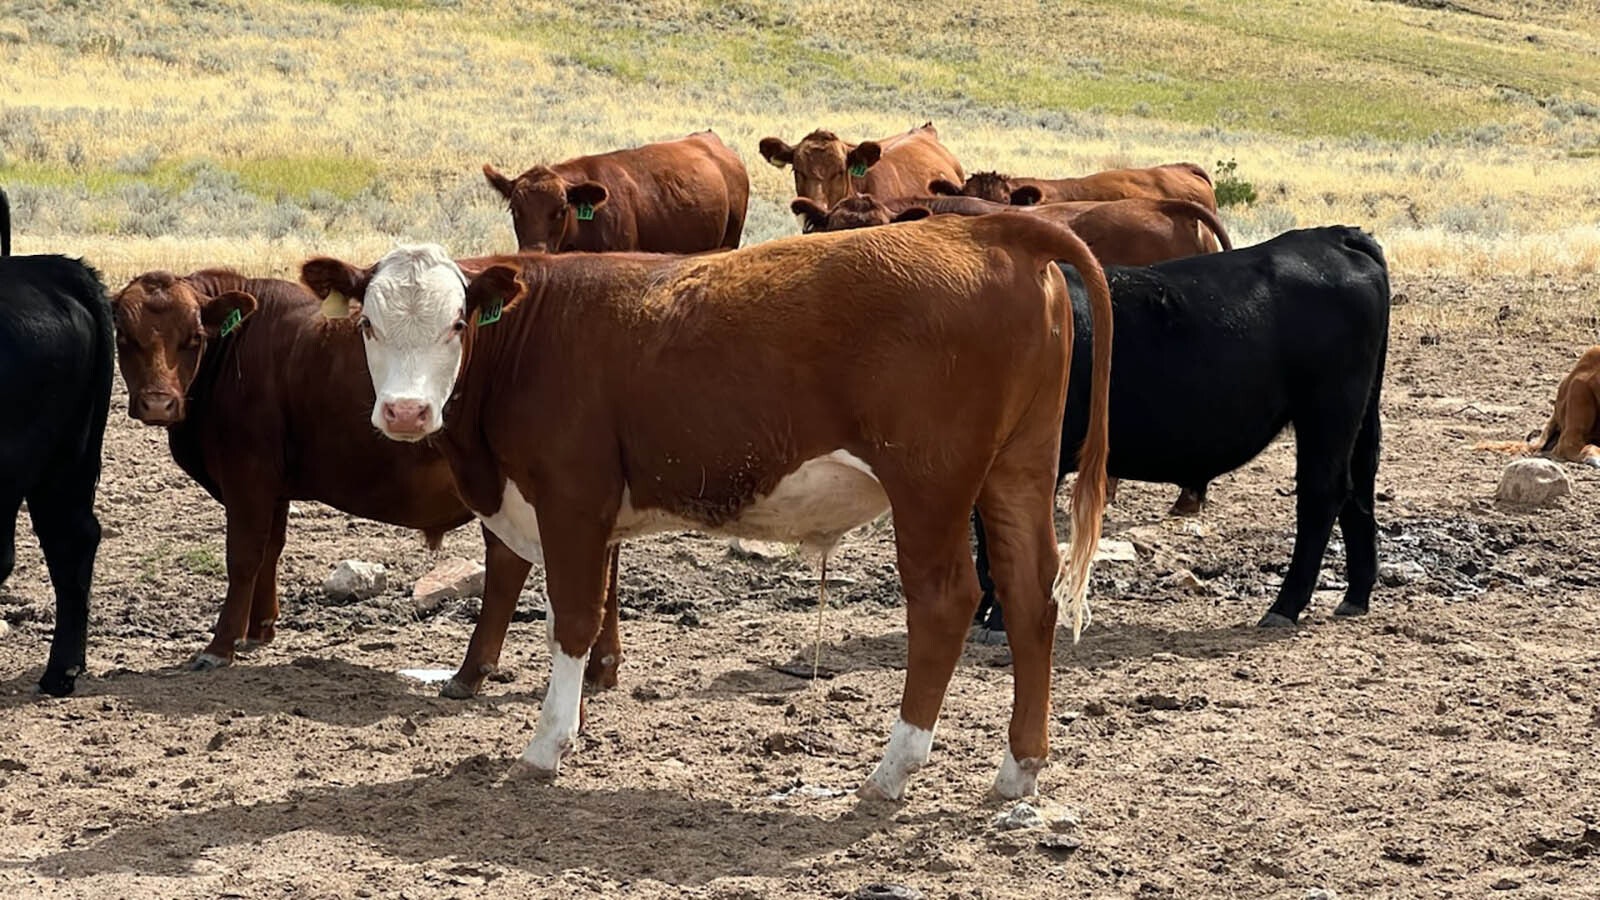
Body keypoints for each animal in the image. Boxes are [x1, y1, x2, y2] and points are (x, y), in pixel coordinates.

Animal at [111, 265, 624, 695]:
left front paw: (220, 646)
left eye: (194, 336)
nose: (159, 403)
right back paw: (601, 667)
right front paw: (260, 629)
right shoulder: (273, 487)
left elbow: (243, 558)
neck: (239, 348)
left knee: (507, 568)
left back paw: (470, 673)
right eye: (124, 335)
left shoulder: (247, 477)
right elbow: (271, 551)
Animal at [972, 225, 1388, 630]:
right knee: (1358, 487)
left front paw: (1002, 619)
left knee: (1323, 493)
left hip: (1327, 409)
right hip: (1357, 414)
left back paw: (1285, 606)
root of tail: (1333, 235)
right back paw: (1355, 595)